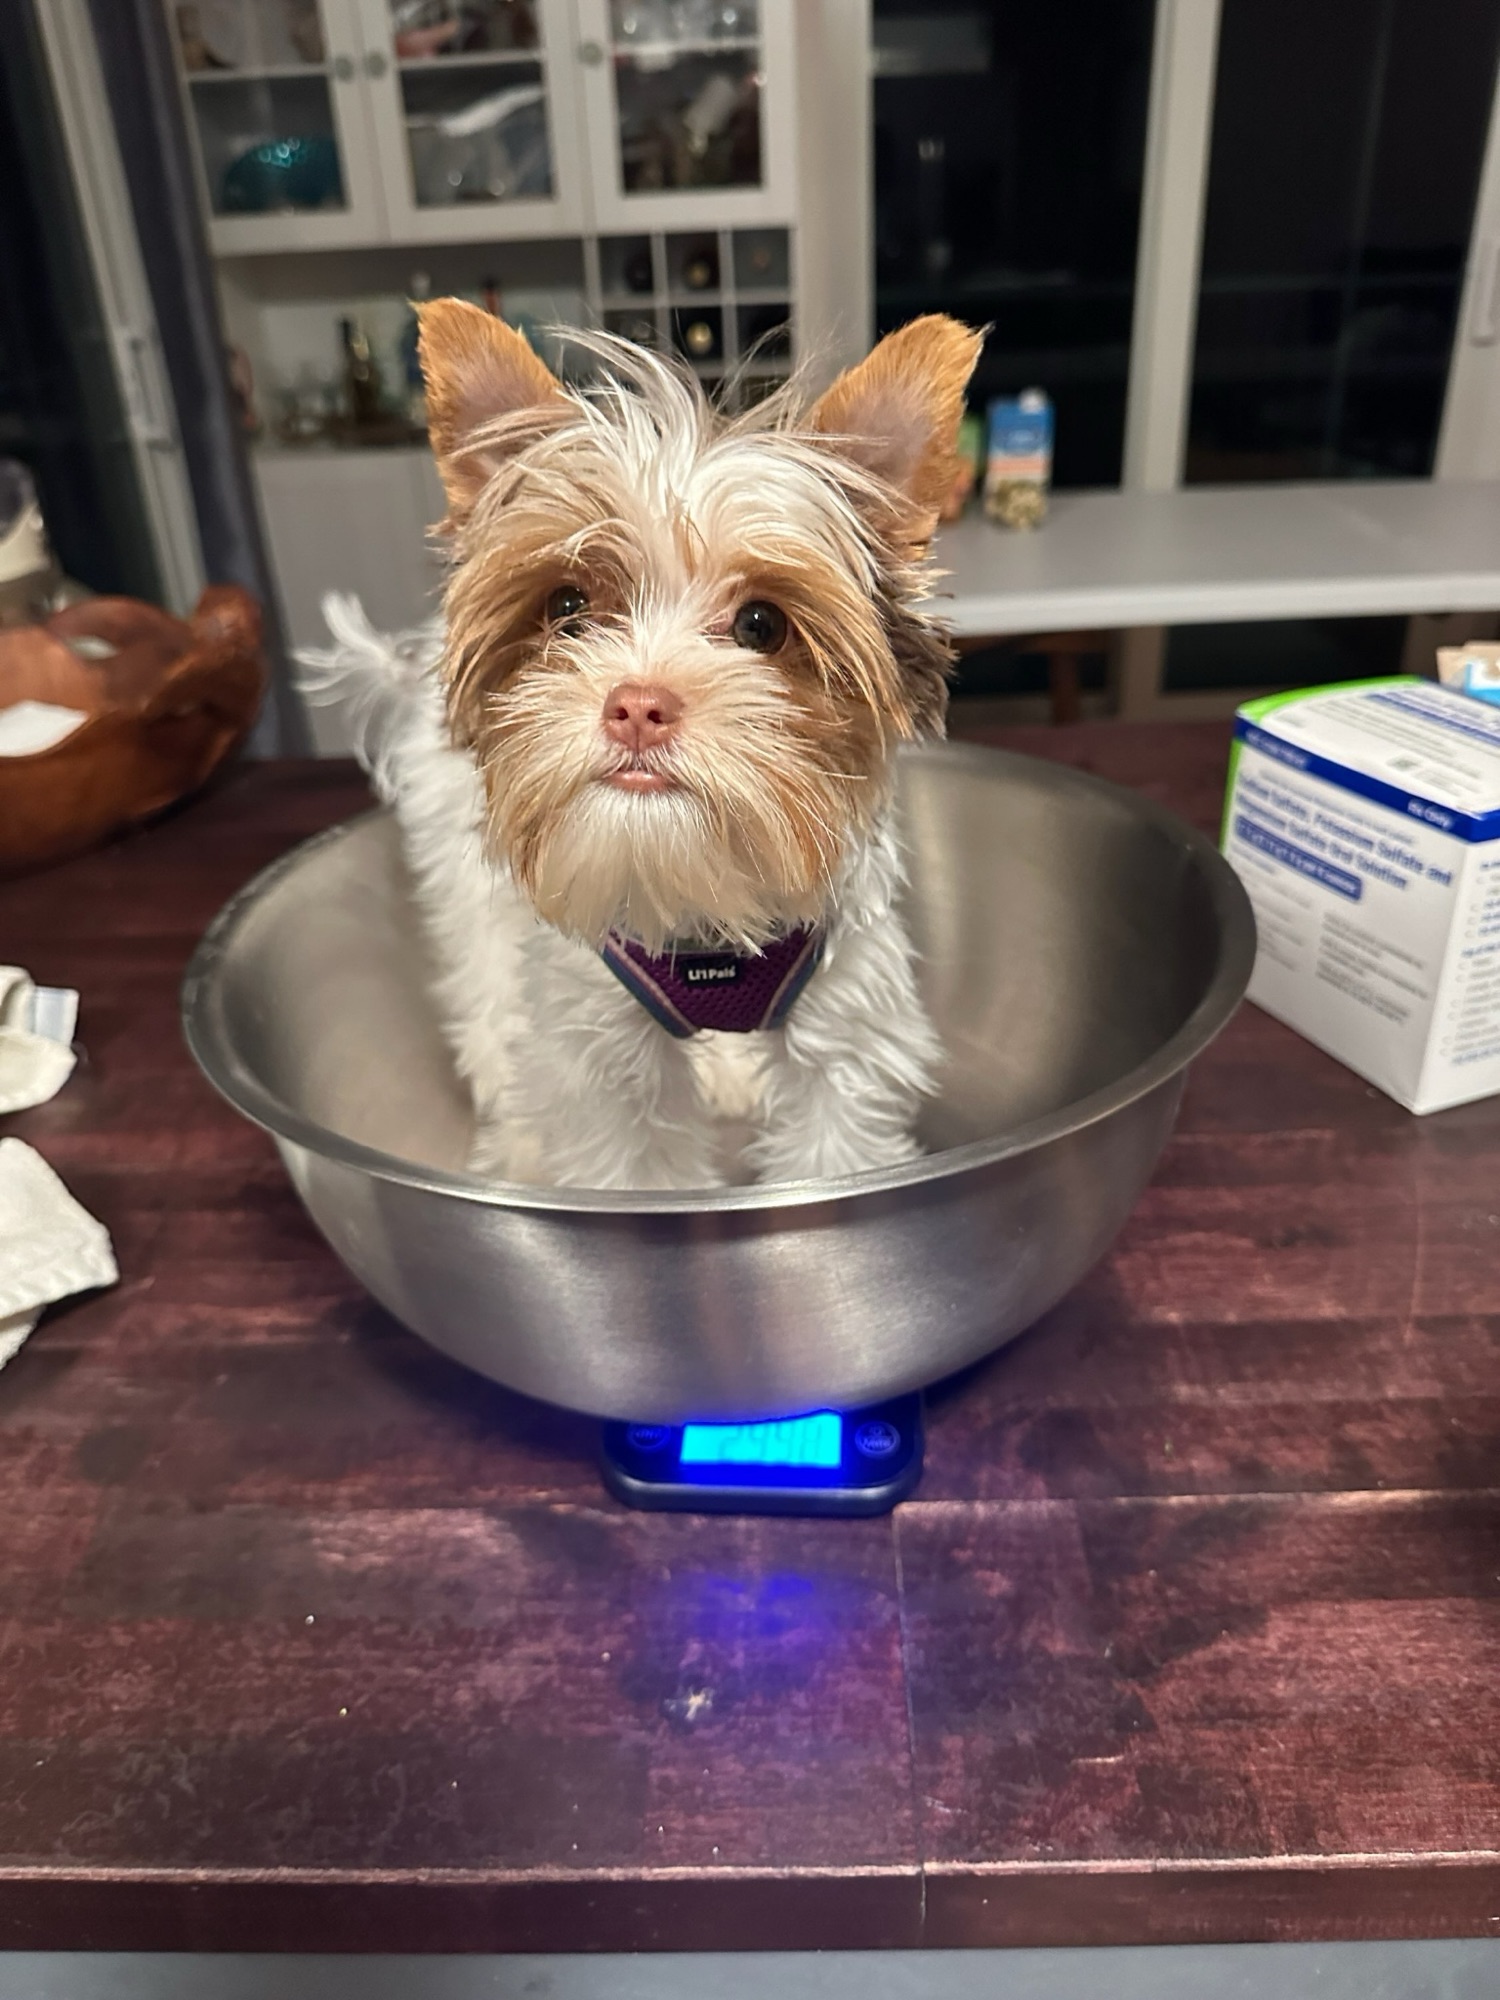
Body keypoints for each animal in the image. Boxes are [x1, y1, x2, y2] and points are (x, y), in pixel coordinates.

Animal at [300, 303, 982, 1190]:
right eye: (567, 607)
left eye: (761, 624)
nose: (636, 705)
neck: (695, 913)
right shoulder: (601, 1047)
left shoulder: (847, 1018)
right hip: (466, 871)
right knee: (489, 995)